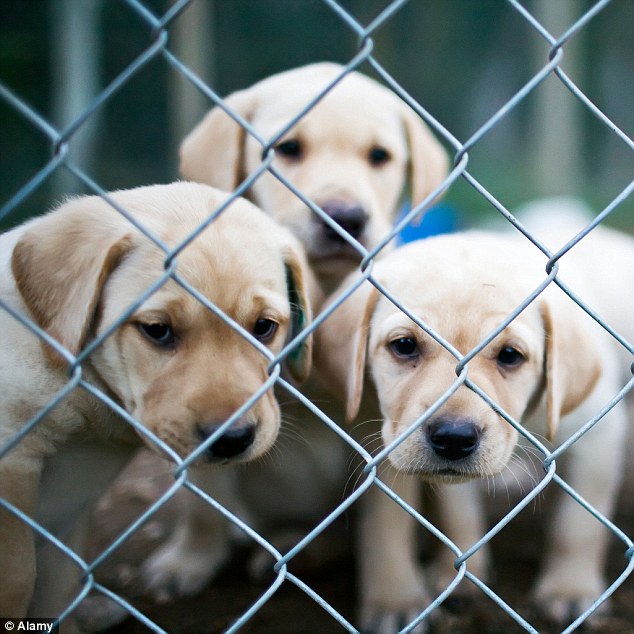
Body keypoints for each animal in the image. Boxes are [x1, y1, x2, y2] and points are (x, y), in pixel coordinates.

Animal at [0, 181, 314, 628]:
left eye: (264, 327)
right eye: (157, 330)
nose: (233, 438)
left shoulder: (70, 510)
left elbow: (56, 593)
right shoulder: (13, 461)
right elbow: (16, 580)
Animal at [318, 223, 628, 628]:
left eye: (510, 355)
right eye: (404, 345)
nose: (453, 439)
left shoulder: (598, 438)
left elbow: (578, 525)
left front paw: (570, 589)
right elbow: (459, 514)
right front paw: (461, 577)